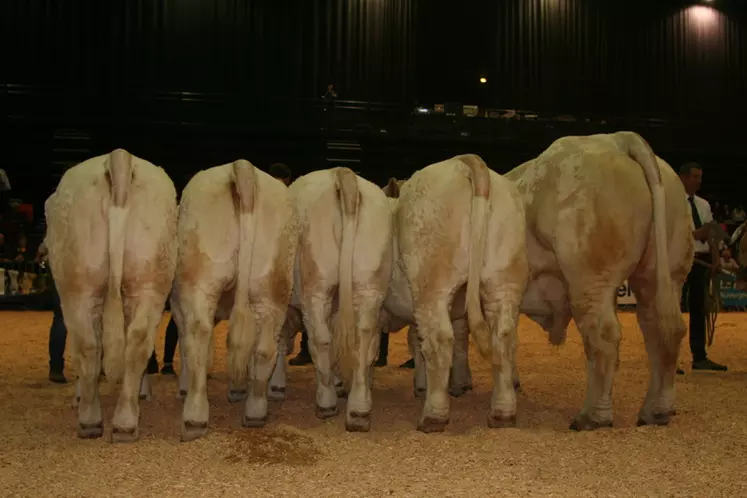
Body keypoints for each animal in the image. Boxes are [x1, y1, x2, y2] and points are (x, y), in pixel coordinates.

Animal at [44, 148, 178, 440]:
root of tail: (118, 156)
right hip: (149, 280)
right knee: (137, 341)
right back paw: (125, 422)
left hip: (78, 285)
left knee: (87, 344)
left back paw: (90, 419)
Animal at [174, 159, 300, 440]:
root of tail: (242, 167)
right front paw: (237, 389)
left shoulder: (177, 307)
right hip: (273, 286)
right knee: (263, 347)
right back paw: (255, 412)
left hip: (200, 282)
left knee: (199, 337)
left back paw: (194, 417)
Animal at [272, 167, 394, 432]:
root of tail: (343, 174)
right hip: (369, 285)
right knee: (363, 340)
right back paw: (358, 410)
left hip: (318, 287)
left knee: (321, 340)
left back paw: (325, 402)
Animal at [388, 155, 528, 432]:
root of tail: (461, 161)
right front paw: (460, 383)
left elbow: (416, 341)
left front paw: (422, 386)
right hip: (503, 278)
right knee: (504, 337)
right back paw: (502, 413)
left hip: (431, 282)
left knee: (439, 339)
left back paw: (433, 416)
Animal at [502, 131, 696, 428]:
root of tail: (616, 139)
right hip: (663, 274)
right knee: (662, 330)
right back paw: (656, 410)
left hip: (589, 279)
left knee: (603, 337)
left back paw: (593, 416)